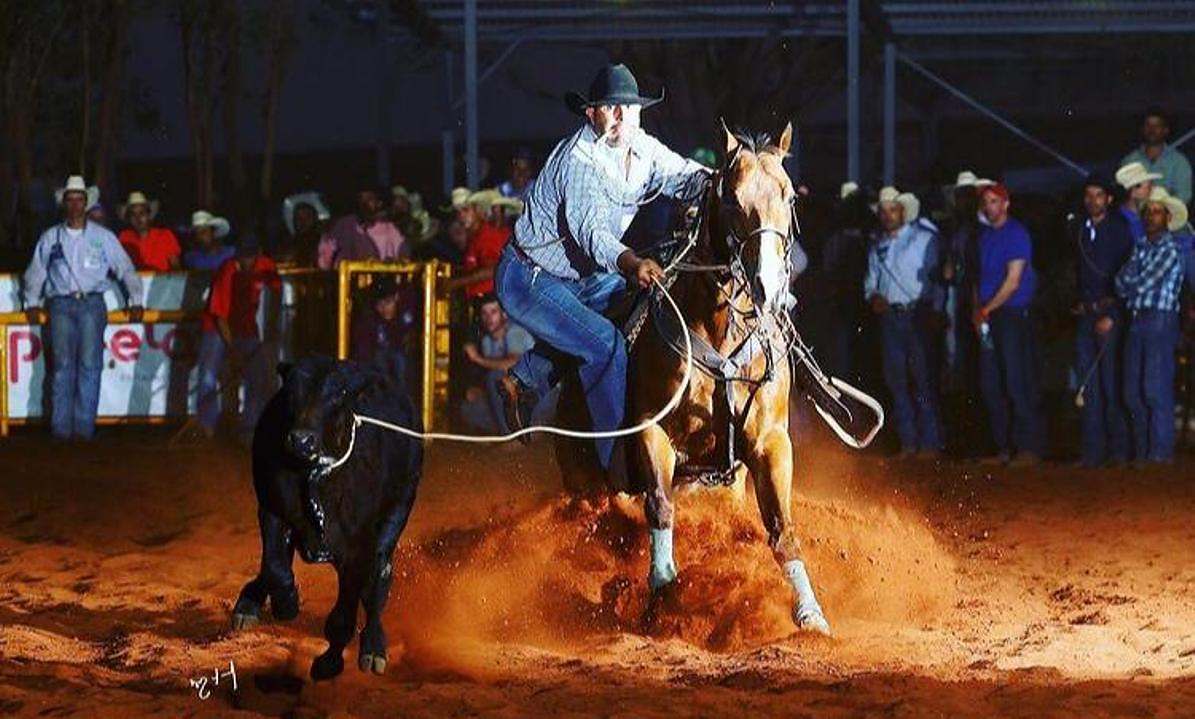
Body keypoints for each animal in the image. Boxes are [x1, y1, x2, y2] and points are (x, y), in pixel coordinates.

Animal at [626, 121, 831, 630]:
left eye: (789, 196)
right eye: (733, 199)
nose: (768, 285)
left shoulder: (771, 441)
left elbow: (781, 529)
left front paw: (810, 613)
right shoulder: (652, 430)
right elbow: (660, 506)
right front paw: (664, 591)